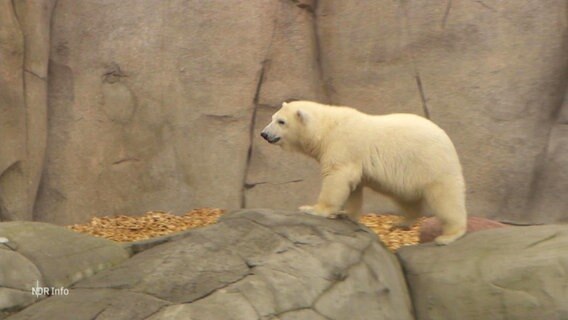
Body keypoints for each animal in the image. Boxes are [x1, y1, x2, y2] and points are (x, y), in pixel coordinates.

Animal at [260, 100, 466, 245]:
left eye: (281, 121)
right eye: (272, 117)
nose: (264, 134)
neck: (326, 128)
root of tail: (447, 139)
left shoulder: (342, 146)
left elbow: (337, 177)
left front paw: (313, 209)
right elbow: (354, 187)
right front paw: (347, 214)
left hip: (431, 163)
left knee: (445, 198)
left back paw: (449, 235)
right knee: (405, 198)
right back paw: (402, 221)